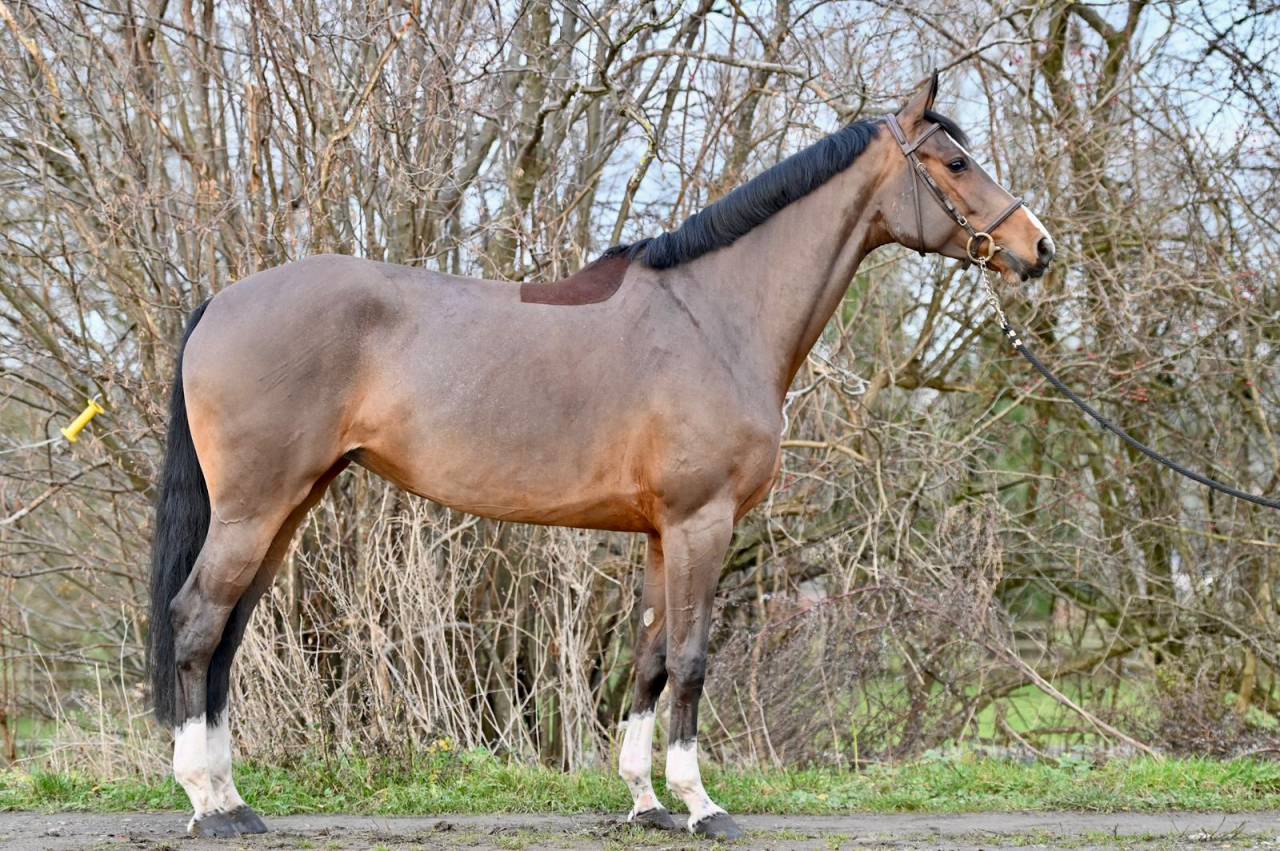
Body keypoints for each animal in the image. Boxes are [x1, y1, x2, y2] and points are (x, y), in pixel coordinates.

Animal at [147, 73, 1053, 840]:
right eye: (956, 161)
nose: (1038, 248)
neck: (714, 317)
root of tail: (221, 301)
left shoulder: (660, 533)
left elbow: (648, 660)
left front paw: (647, 801)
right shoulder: (702, 523)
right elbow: (690, 659)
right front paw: (701, 804)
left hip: (288, 506)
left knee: (227, 635)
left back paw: (228, 797)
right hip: (256, 505)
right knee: (197, 620)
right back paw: (209, 803)